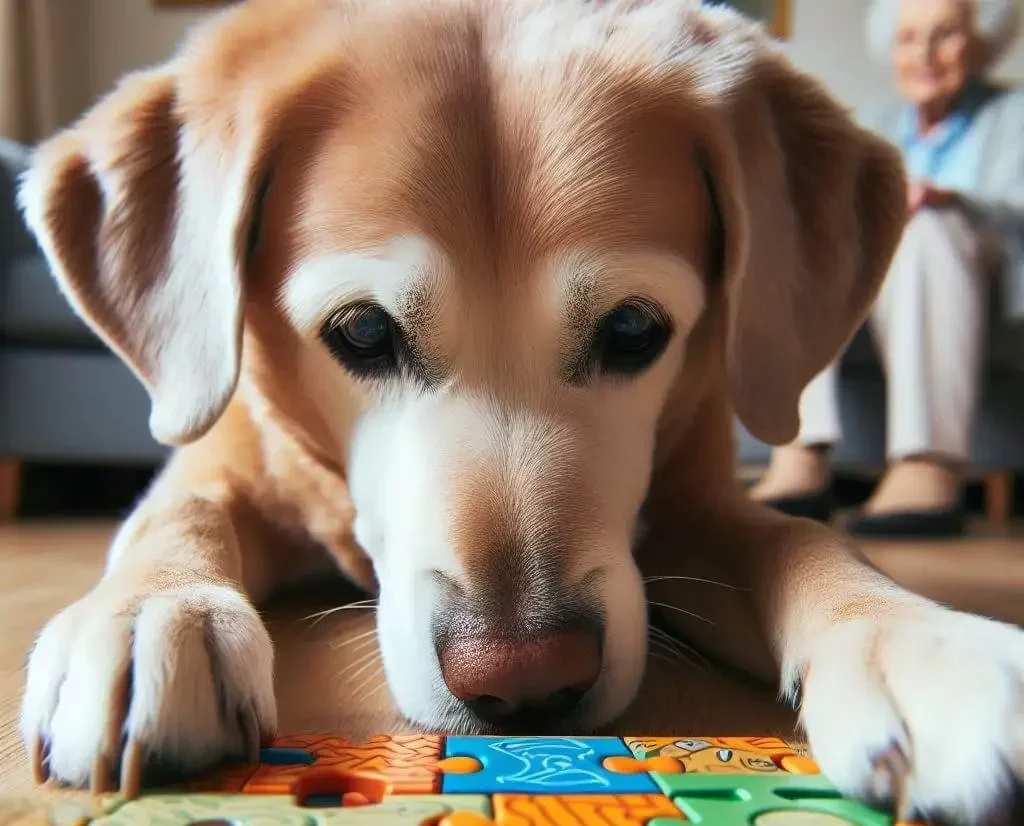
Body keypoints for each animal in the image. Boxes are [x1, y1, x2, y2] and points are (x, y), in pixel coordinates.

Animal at [14, 0, 1024, 822]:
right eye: (362, 332)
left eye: (633, 328)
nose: (527, 681)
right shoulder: (221, 454)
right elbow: (171, 514)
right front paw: (149, 614)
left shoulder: (694, 504)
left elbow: (801, 540)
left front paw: (913, 641)